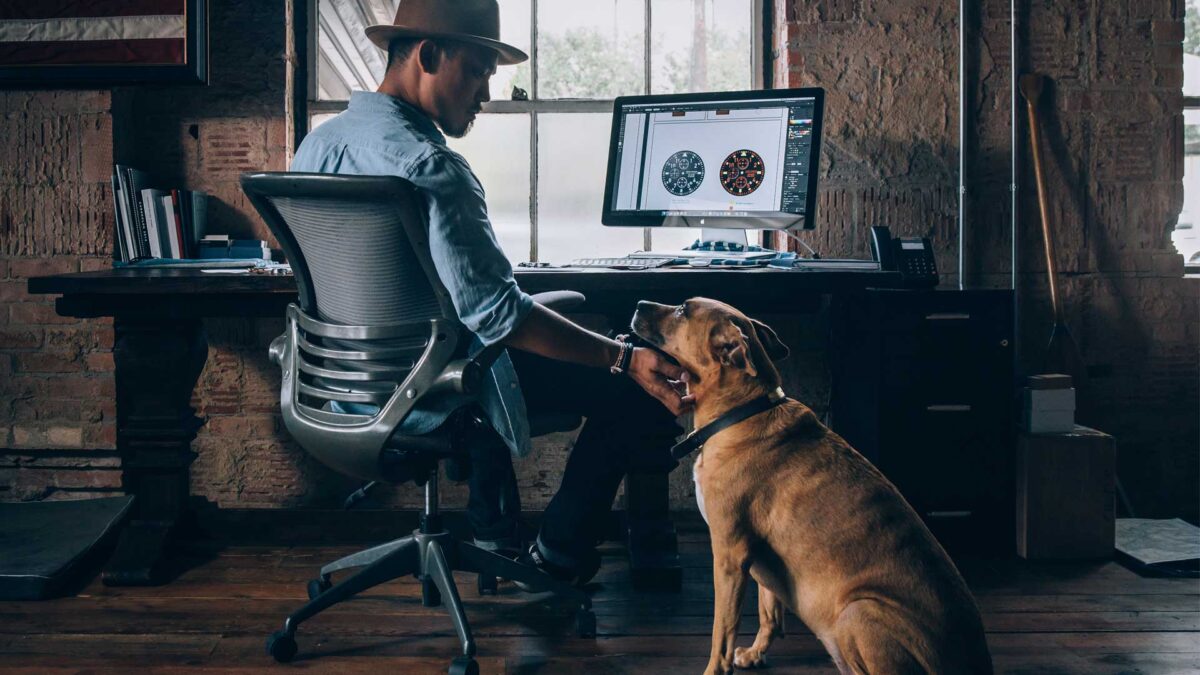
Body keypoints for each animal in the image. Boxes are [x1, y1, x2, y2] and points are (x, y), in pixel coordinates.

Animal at [633, 297, 988, 672]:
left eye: (682, 311)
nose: (639, 303)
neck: (742, 411)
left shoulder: (729, 555)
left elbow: (722, 633)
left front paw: (716, 668)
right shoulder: (761, 562)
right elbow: (769, 612)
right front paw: (756, 653)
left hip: (857, 611)